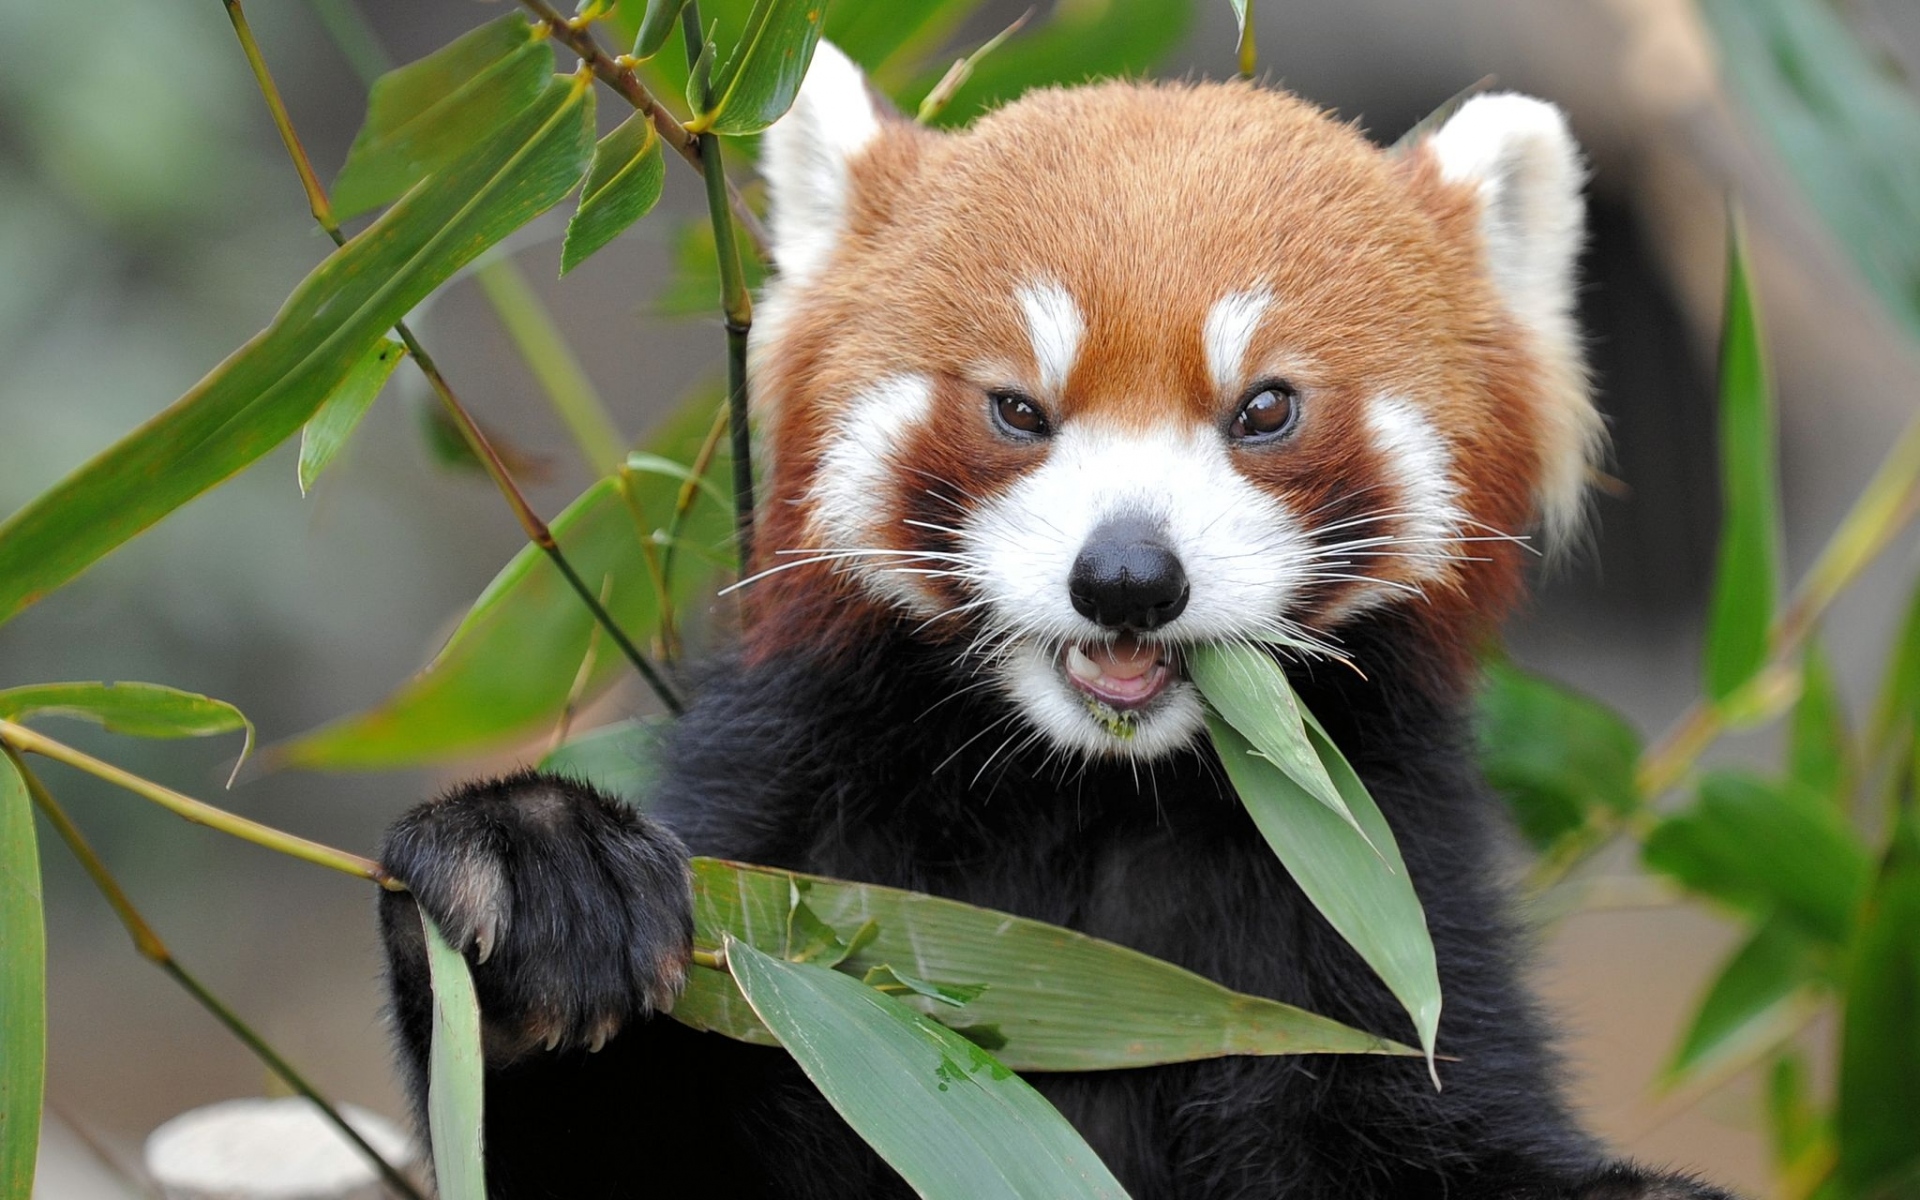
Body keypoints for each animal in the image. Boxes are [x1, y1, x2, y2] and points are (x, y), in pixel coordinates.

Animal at [377, 43, 1735, 1199]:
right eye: (1019, 409)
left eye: (1266, 408)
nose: (1127, 577)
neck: (1088, 799)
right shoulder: (796, 865)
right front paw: (534, 879)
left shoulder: (1369, 902)